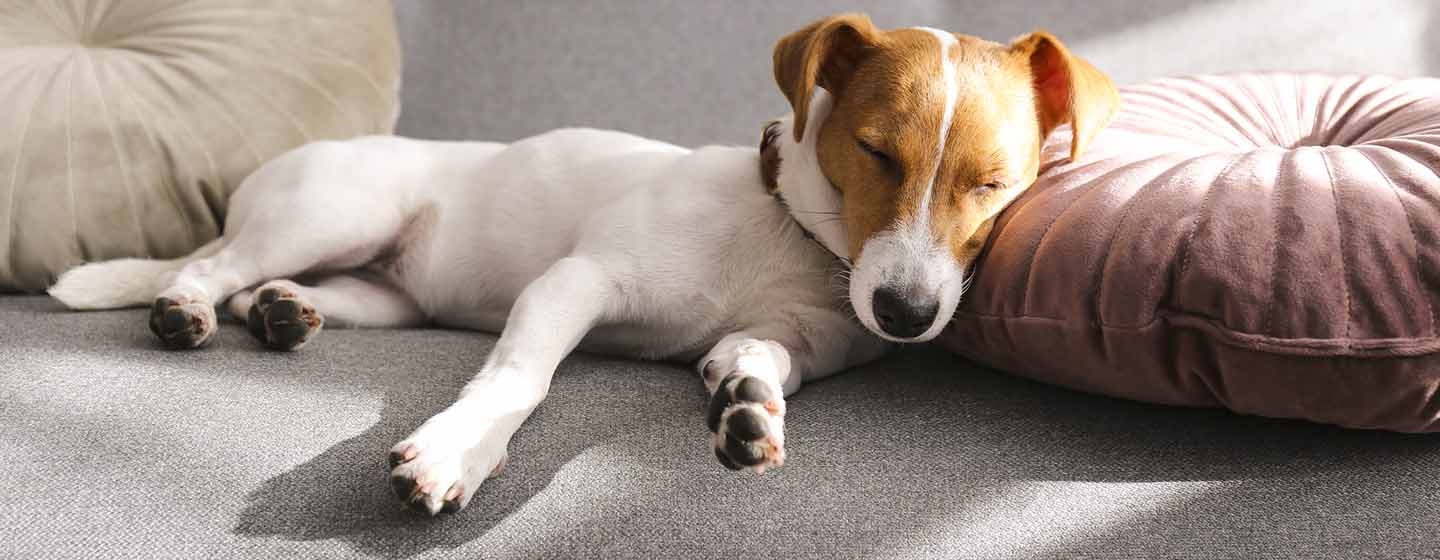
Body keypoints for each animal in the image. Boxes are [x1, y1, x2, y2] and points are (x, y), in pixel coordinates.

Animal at [50, 13, 1117, 512]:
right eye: (877, 153)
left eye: (995, 182)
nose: (905, 313)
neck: (788, 235)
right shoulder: (575, 284)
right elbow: (517, 380)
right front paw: (456, 451)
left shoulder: (802, 338)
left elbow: (757, 357)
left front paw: (747, 403)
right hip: (333, 213)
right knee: (214, 264)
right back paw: (188, 306)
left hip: (384, 294)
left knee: (280, 293)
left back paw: (280, 314)